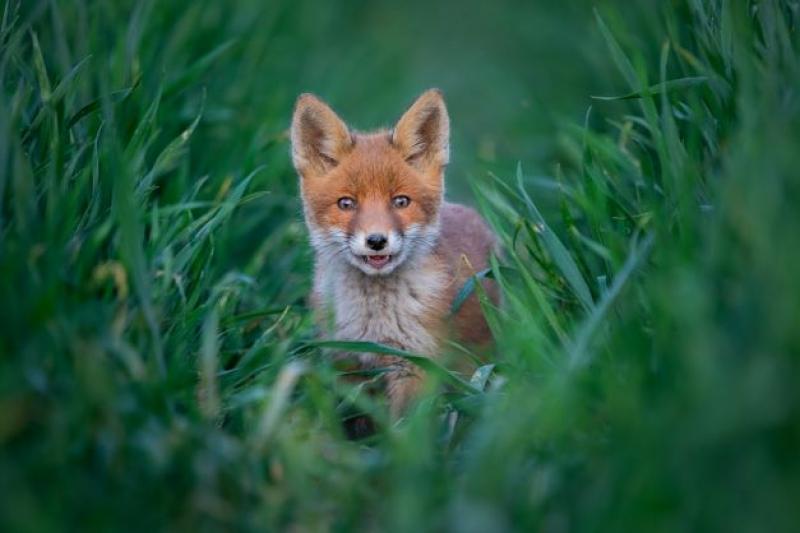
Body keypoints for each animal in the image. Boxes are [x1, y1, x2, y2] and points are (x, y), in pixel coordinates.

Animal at [290, 89, 496, 418]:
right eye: (346, 203)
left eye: (400, 201)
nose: (376, 240)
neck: (375, 322)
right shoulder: (344, 361)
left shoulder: (415, 365)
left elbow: (404, 424)